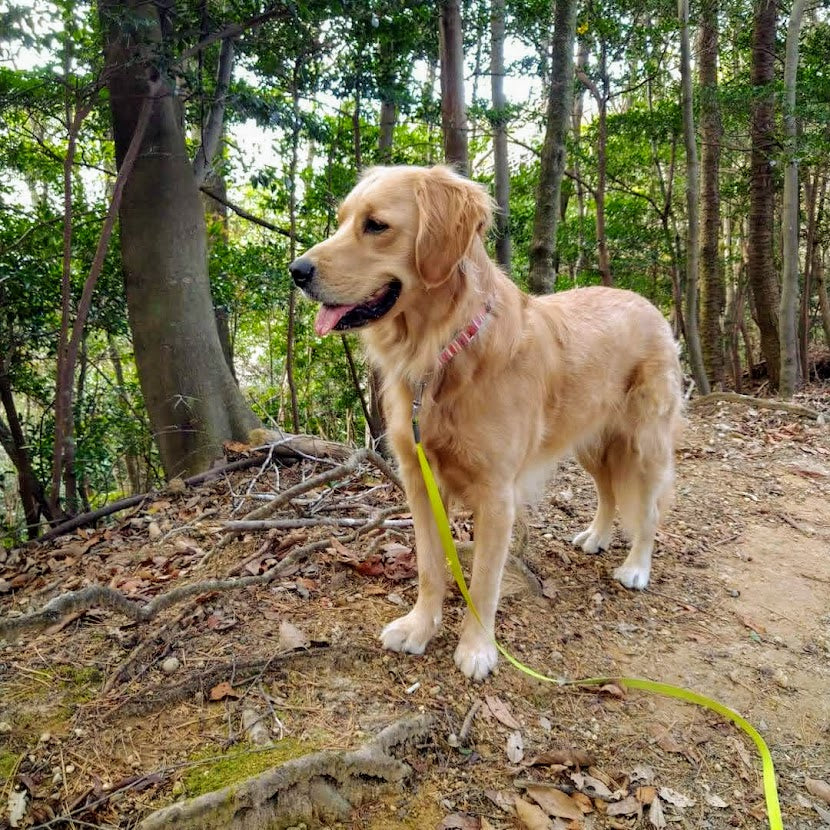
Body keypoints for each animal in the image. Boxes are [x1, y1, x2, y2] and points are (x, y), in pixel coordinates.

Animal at [290, 164, 684, 684]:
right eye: (341, 222)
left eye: (375, 225)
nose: (296, 271)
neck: (443, 352)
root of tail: (649, 304)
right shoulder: (420, 483)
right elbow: (430, 568)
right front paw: (420, 627)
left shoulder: (496, 495)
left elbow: (482, 582)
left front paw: (477, 649)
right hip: (588, 439)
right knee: (608, 492)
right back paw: (597, 536)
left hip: (643, 441)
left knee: (650, 508)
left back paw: (637, 566)